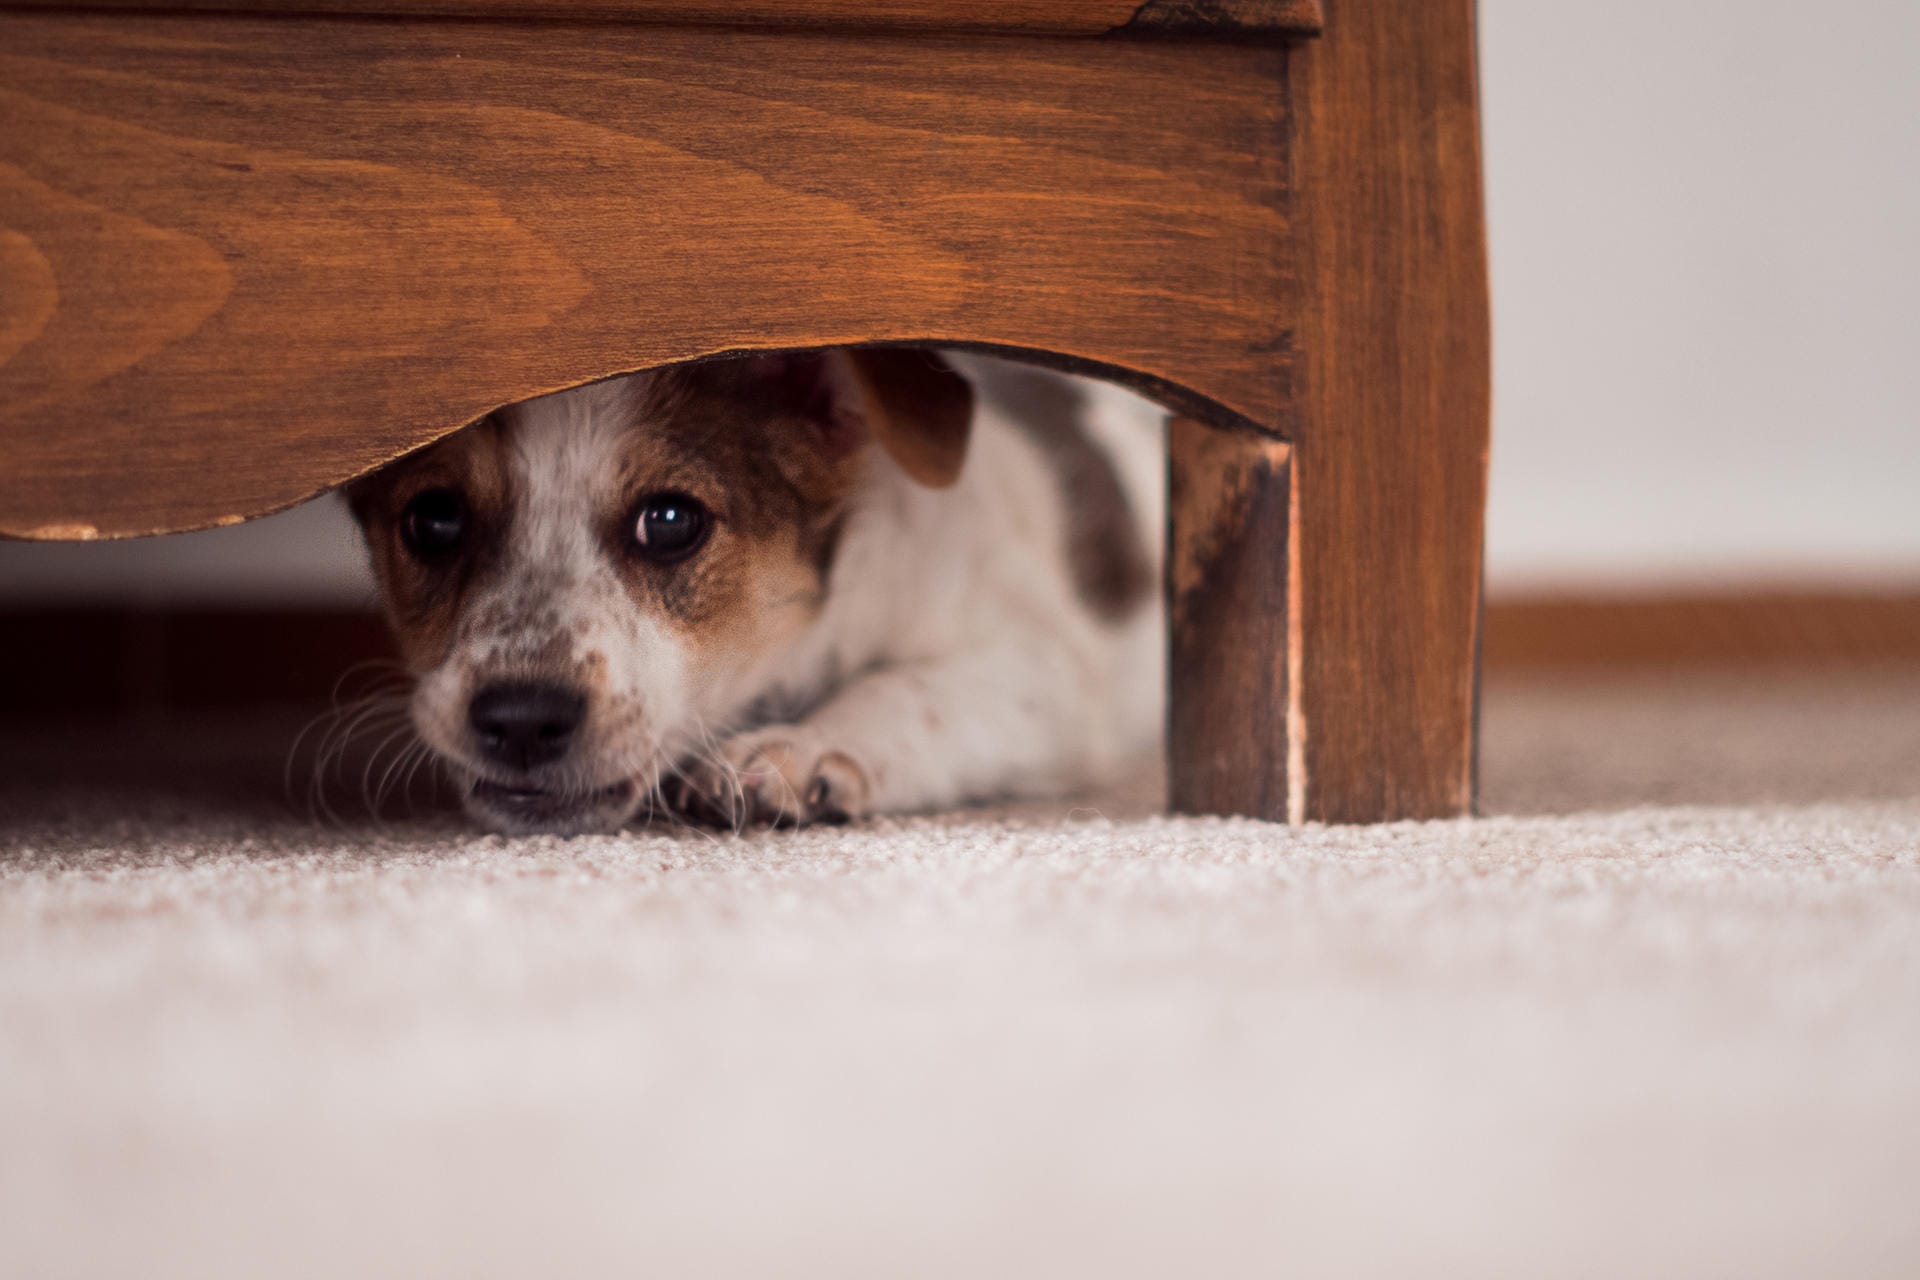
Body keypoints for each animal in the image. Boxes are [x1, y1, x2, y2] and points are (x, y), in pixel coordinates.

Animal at [351, 345, 1159, 836]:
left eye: (671, 521)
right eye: (434, 519)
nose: (521, 720)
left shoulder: (1045, 671)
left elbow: (909, 689)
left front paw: (802, 746)